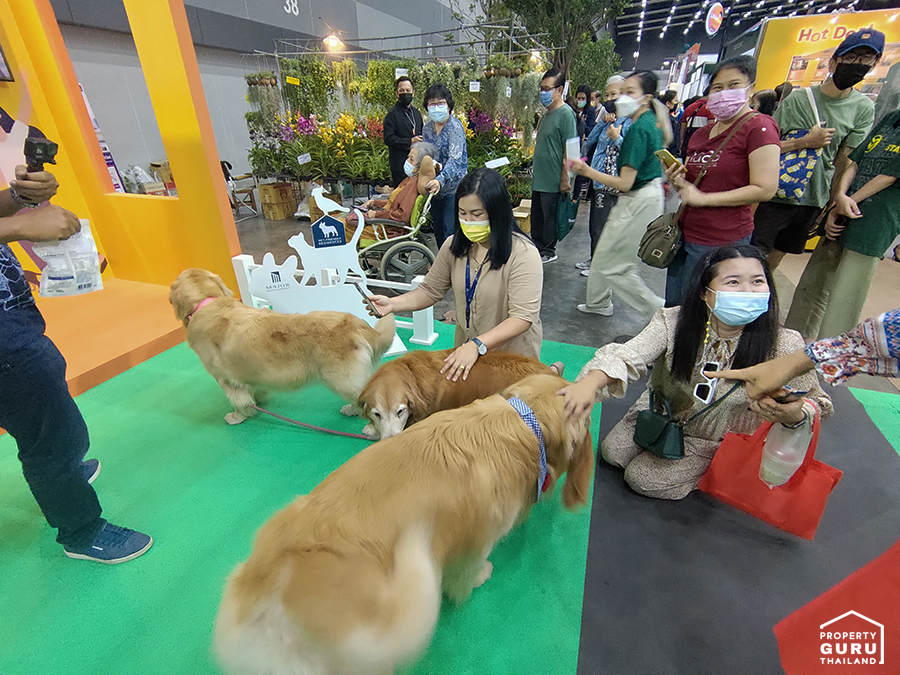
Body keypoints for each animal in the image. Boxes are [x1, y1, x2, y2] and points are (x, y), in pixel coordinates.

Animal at [169, 268, 395, 425]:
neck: (205, 303)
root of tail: (358, 325)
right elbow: (253, 392)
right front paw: (258, 402)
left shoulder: (226, 380)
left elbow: (238, 401)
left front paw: (237, 416)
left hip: (342, 380)